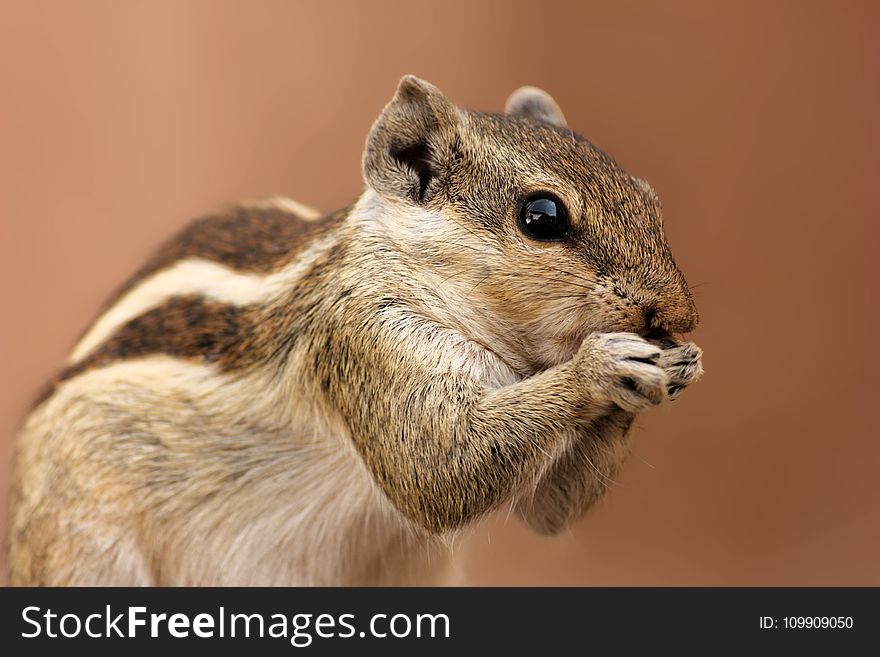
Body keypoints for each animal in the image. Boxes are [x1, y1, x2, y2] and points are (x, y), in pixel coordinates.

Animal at [8, 77, 700, 584]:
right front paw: (602, 364)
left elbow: (545, 512)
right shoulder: (365, 339)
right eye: (542, 216)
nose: (678, 315)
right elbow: (440, 472)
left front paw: (679, 363)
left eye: (650, 199)